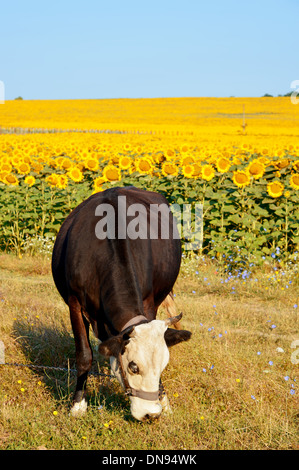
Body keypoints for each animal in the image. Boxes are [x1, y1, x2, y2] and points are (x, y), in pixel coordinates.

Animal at [51, 186, 192, 422]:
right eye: (134, 367)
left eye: (163, 366)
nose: (151, 414)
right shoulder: (74, 304)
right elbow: (84, 355)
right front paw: (78, 405)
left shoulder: (149, 303)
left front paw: (164, 400)